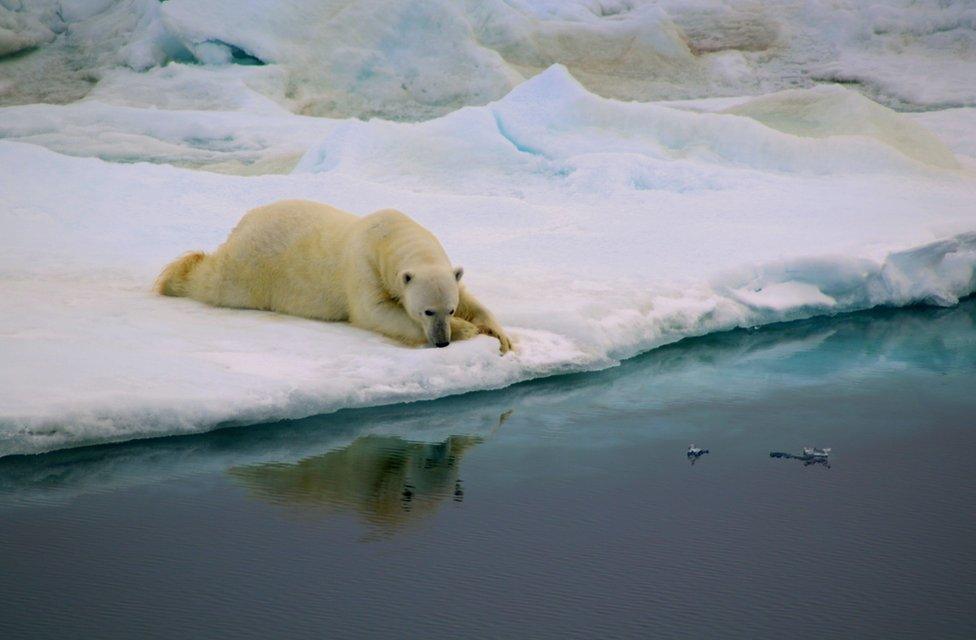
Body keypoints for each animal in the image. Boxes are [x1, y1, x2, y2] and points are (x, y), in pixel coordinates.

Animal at [154, 199, 510, 352]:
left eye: (448, 309)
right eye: (427, 311)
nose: (442, 341)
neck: (389, 236)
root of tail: (244, 222)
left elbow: (471, 297)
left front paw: (499, 334)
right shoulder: (362, 266)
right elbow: (374, 312)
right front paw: (467, 330)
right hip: (253, 267)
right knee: (214, 280)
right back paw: (173, 277)